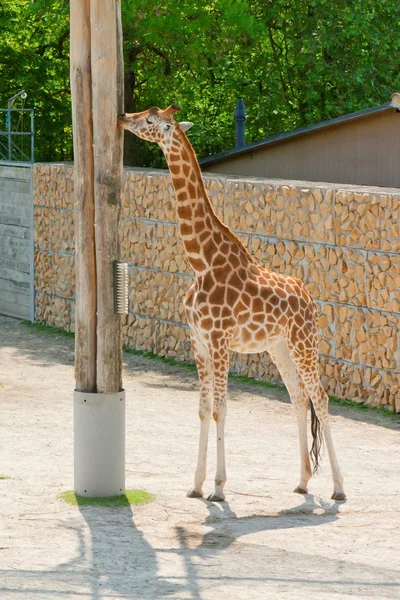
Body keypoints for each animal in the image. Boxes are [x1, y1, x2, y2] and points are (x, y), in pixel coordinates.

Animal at [117, 104, 346, 502]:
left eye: (150, 121)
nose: (122, 117)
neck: (201, 261)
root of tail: (309, 298)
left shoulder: (220, 341)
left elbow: (221, 410)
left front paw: (220, 488)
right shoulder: (198, 341)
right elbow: (202, 408)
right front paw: (196, 485)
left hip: (304, 342)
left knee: (320, 398)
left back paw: (338, 487)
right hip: (279, 347)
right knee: (299, 398)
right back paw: (302, 481)